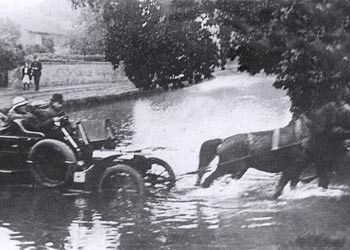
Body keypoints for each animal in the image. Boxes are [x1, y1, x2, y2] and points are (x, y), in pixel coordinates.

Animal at [196, 101, 350, 199]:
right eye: (344, 111)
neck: (307, 134)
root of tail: (223, 141)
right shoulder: (291, 168)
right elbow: (279, 190)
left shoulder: (298, 170)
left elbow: (292, 186)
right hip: (226, 168)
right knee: (207, 180)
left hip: (238, 170)